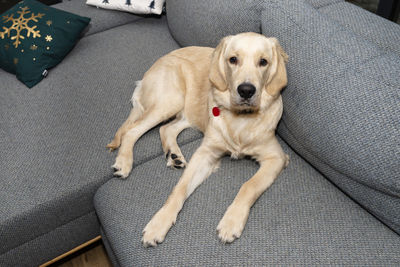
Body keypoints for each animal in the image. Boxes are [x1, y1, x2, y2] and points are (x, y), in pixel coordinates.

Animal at [106, 32, 288, 248]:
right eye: (233, 59)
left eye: (263, 62)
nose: (246, 90)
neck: (240, 120)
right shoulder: (205, 153)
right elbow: (179, 188)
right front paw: (159, 222)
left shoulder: (276, 158)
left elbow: (249, 186)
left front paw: (231, 221)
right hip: (170, 100)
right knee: (131, 131)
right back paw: (124, 162)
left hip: (188, 111)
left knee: (166, 128)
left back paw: (174, 155)